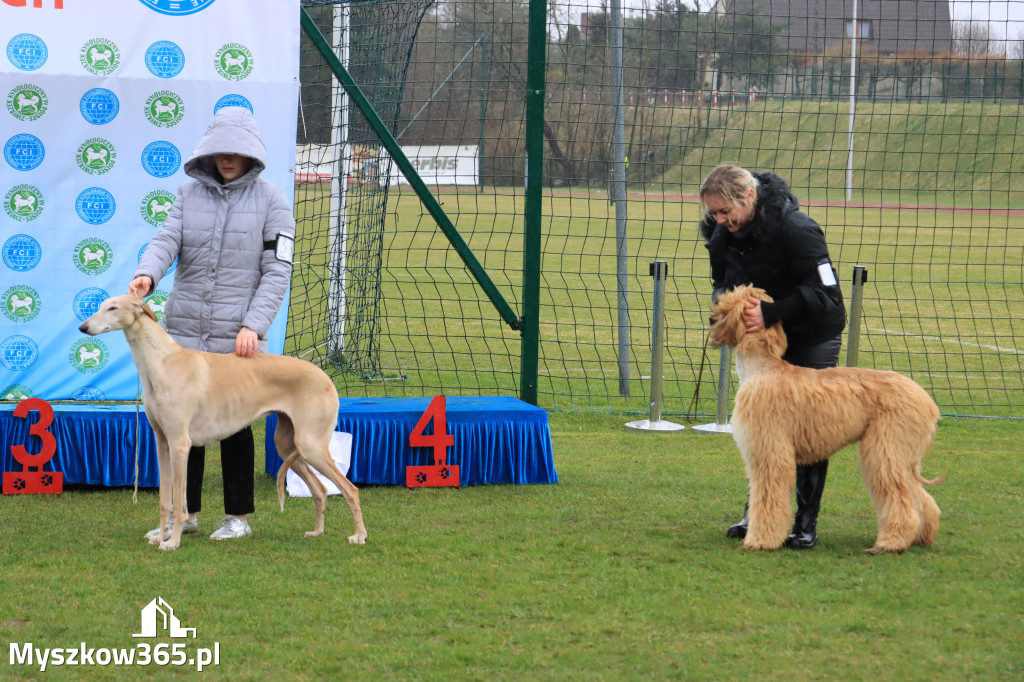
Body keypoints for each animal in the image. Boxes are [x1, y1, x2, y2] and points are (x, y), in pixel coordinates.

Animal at [79, 294, 368, 548]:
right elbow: (165, 500)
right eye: (101, 306)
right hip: (288, 445)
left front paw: (172, 542)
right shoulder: (162, 443)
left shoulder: (180, 444)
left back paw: (359, 536)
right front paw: (160, 536)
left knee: (350, 490)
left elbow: (179, 502)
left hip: (310, 445)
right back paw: (317, 532)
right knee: (320, 490)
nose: (83, 327)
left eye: (113, 308)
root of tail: (326, 376)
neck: (162, 361)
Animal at [712, 282, 942, 552]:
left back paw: (890, 542)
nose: (711, 319)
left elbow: (767, 498)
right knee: (919, 497)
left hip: (886, 448)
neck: (762, 369)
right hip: (899, 454)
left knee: (900, 498)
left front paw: (760, 540)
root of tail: (928, 403)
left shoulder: (769, 450)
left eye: (724, 304)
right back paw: (921, 535)